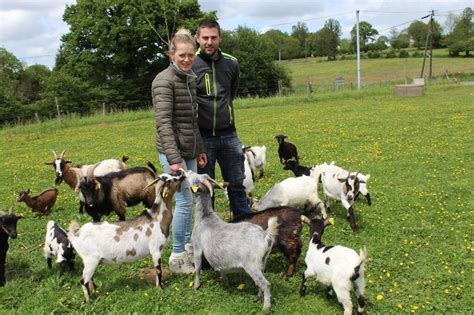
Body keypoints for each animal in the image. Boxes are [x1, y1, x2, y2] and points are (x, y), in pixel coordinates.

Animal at [69, 172, 186, 302]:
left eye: (171, 175)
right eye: (170, 181)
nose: (181, 175)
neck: (157, 218)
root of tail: (76, 234)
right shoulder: (155, 249)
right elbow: (158, 270)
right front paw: (160, 288)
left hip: (89, 261)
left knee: (89, 278)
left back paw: (95, 291)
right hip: (91, 260)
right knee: (83, 281)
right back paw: (89, 300)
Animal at [189, 173, 278, 314]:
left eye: (194, 177)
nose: (186, 172)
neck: (204, 217)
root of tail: (265, 235)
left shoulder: (197, 247)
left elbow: (197, 268)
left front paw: (196, 286)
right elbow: (222, 270)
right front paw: (224, 281)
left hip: (251, 264)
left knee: (266, 284)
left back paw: (266, 307)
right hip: (262, 261)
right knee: (261, 282)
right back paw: (258, 297)